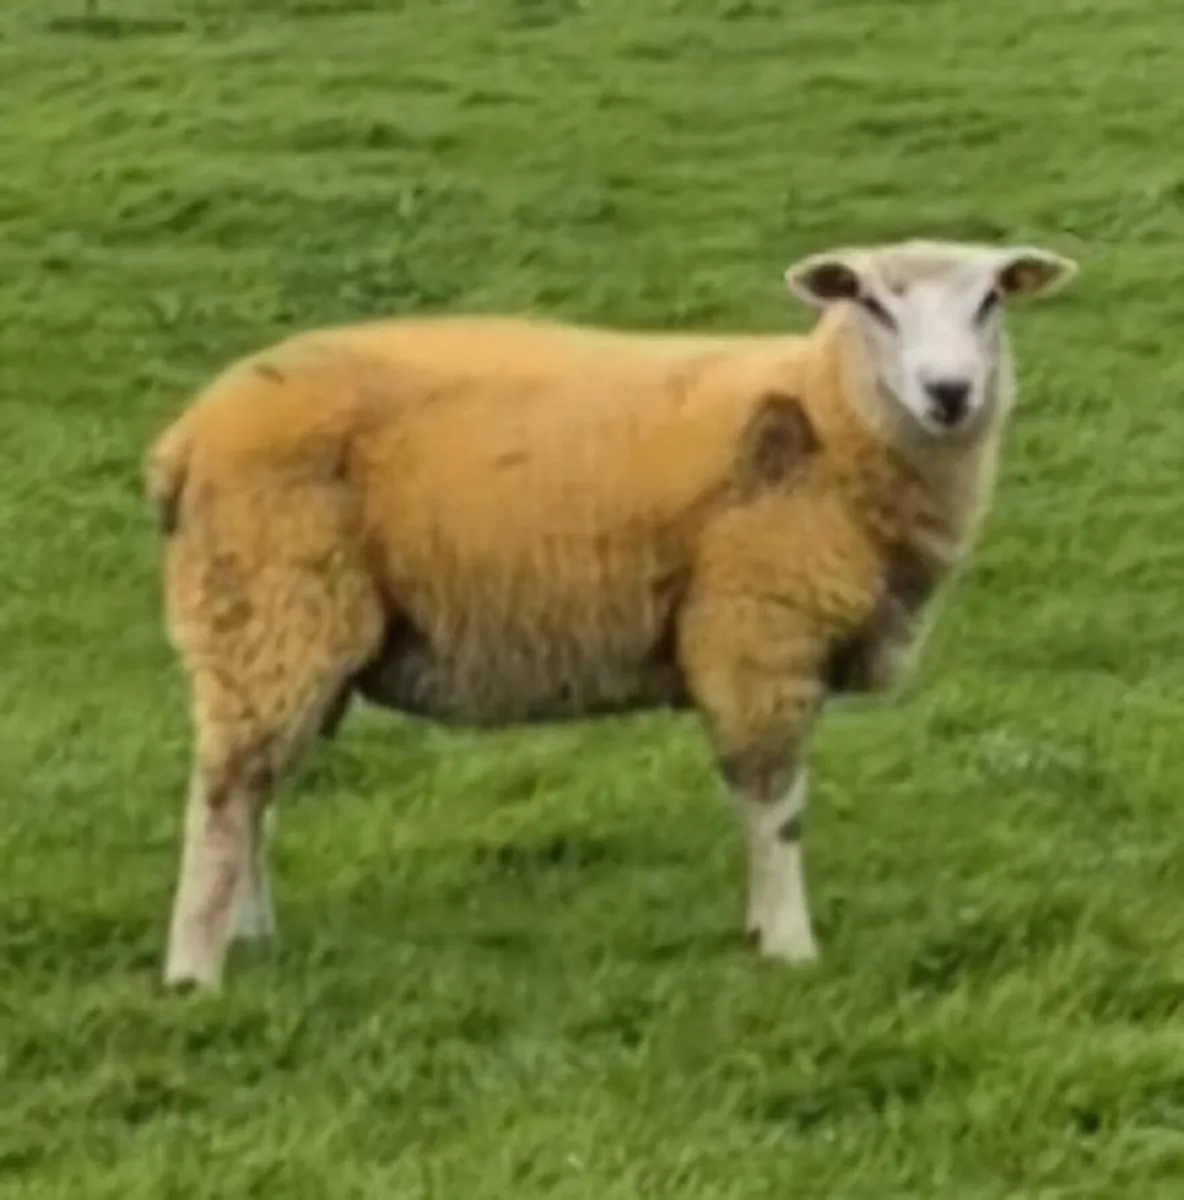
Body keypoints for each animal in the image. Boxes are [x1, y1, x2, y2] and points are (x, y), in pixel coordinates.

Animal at [145, 238, 1077, 989]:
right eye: (872, 302)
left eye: (991, 300)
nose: (950, 392)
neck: (823, 414)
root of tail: (186, 438)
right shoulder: (758, 635)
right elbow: (777, 811)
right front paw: (789, 947)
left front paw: (760, 931)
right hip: (270, 602)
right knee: (223, 796)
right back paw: (194, 971)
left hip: (275, 627)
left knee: (256, 786)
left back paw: (252, 934)